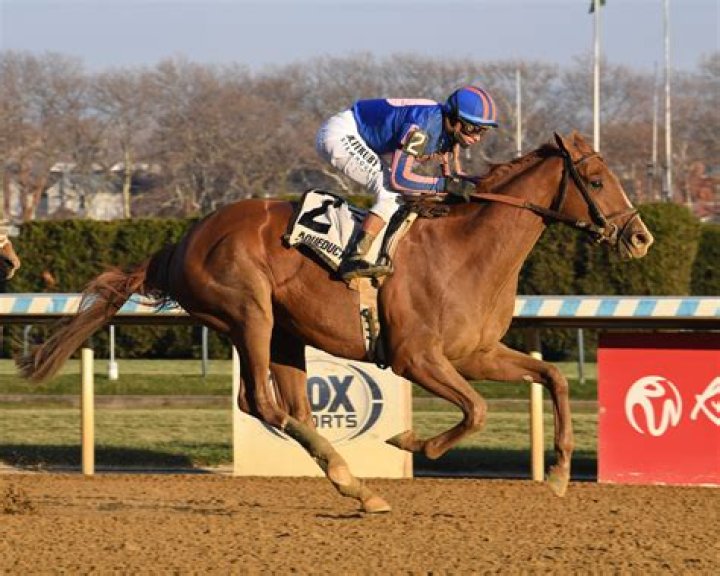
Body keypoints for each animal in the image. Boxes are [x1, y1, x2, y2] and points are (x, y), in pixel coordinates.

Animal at [18, 132, 653, 513]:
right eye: (597, 181)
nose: (640, 237)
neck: (466, 249)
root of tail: (179, 243)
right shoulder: (417, 357)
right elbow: (476, 411)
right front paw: (410, 441)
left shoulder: (475, 353)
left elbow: (554, 379)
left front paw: (560, 472)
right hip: (248, 313)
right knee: (261, 402)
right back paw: (356, 483)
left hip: (284, 333)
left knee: (292, 409)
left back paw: (355, 486)